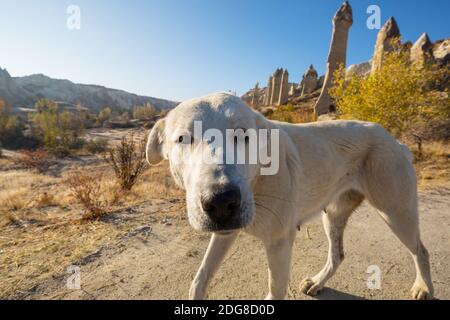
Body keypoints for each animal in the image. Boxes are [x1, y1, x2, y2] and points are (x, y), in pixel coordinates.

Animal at [146, 92, 434, 300]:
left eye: (242, 135)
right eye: (183, 139)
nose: (220, 202)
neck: (259, 181)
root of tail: (394, 139)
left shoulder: (279, 243)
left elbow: (275, 290)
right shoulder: (224, 233)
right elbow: (199, 279)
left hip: (396, 213)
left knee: (421, 251)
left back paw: (424, 288)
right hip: (333, 215)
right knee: (338, 255)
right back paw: (317, 282)